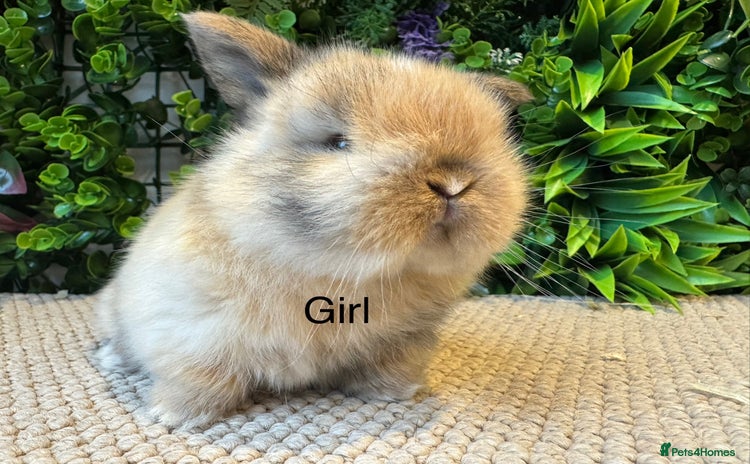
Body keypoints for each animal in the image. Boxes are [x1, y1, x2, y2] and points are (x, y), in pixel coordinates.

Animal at [94, 11, 532, 429]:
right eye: (337, 143)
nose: (453, 184)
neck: (342, 280)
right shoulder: (193, 331)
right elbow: (202, 377)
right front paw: (176, 416)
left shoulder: (405, 340)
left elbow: (388, 367)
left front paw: (393, 393)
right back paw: (112, 359)